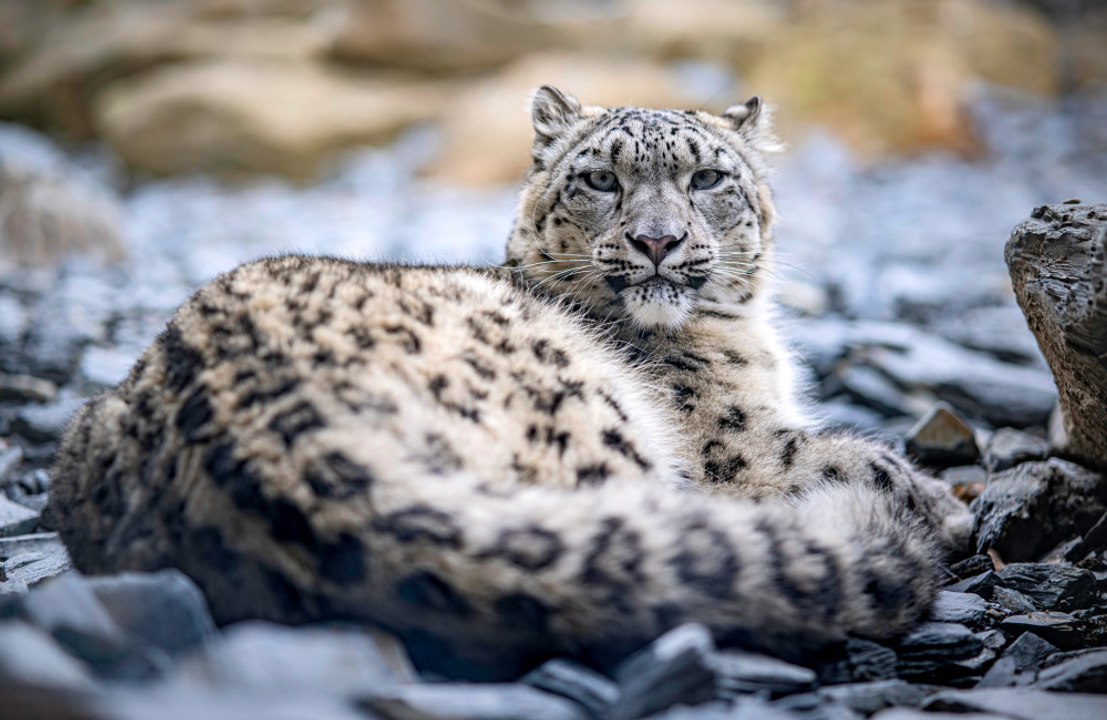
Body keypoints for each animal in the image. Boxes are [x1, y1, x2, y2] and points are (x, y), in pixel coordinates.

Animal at [48, 86, 973, 680]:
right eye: (600, 178)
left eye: (708, 178)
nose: (658, 241)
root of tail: (278, 438)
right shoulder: (742, 451)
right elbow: (864, 459)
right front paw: (947, 503)